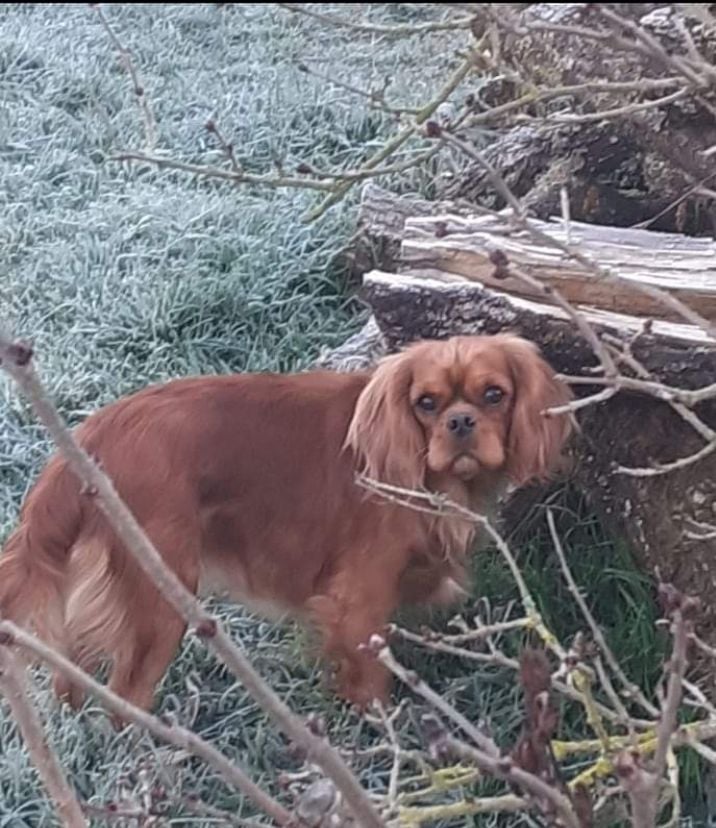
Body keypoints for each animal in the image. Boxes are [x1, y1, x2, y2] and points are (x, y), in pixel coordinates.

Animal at [0, 334, 572, 713]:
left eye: (494, 394)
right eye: (425, 404)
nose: (460, 422)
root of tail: (87, 440)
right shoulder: (358, 599)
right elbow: (370, 678)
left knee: (72, 677)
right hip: (159, 594)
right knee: (125, 697)